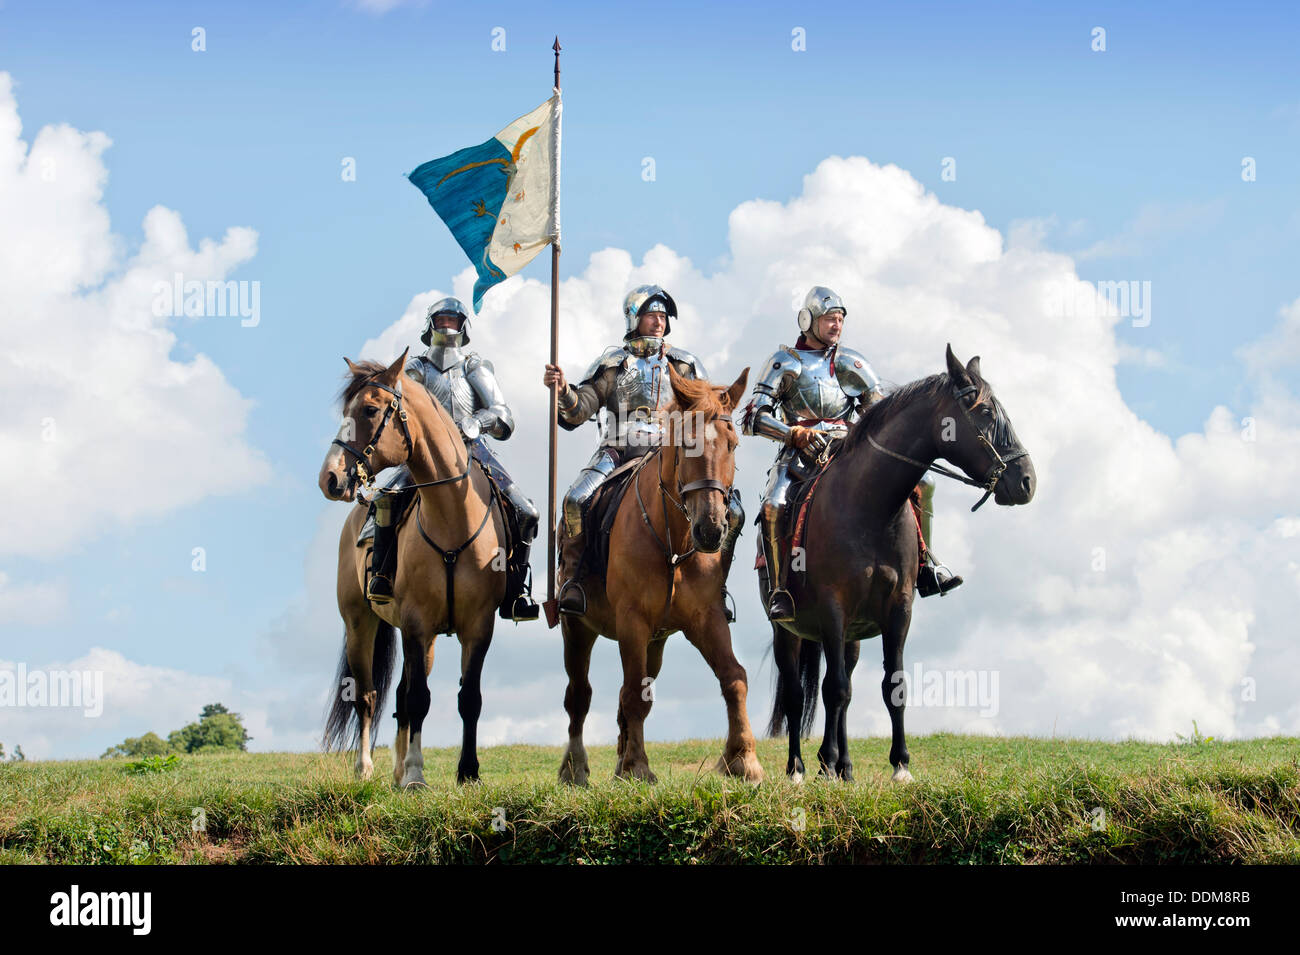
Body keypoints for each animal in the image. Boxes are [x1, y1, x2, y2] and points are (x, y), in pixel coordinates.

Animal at [317, 348, 509, 789]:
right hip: (361, 623)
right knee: (369, 696)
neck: (452, 515)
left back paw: (397, 770)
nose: (330, 478)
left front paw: (468, 772)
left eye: (370, 410)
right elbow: (418, 698)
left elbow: (468, 699)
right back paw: (367, 767)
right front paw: (417, 776)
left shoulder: (477, 626)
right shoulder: (416, 622)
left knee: (402, 696)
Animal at [556, 366, 759, 784]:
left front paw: (743, 759)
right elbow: (633, 692)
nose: (711, 530)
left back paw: (618, 765)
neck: (673, 544)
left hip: (657, 642)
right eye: (685, 445)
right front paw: (638, 766)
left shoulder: (706, 618)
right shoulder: (631, 622)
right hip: (577, 627)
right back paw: (576, 768)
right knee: (580, 696)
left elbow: (734, 677)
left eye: (732, 445)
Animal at [759, 348, 1034, 779]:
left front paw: (900, 765)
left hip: (851, 636)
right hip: (787, 628)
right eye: (987, 413)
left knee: (843, 688)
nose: (1026, 481)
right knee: (797, 691)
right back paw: (800, 768)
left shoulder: (898, 608)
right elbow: (832, 689)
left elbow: (892, 685)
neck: (870, 505)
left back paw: (841, 765)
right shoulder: (833, 609)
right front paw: (826, 764)